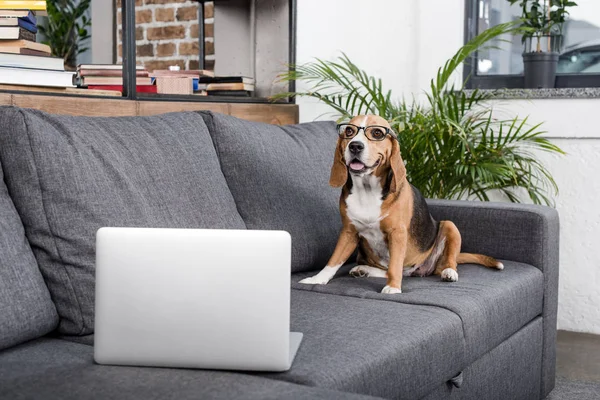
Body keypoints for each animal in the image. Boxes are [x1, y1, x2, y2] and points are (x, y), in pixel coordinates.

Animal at [298, 114, 502, 292]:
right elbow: (333, 260)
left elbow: (394, 266)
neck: (367, 189)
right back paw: (363, 270)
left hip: (450, 227)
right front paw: (316, 279)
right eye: (349, 130)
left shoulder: (397, 233)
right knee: (387, 270)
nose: (355, 146)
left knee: (445, 261)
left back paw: (449, 272)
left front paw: (393, 288)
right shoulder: (349, 231)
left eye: (377, 133)